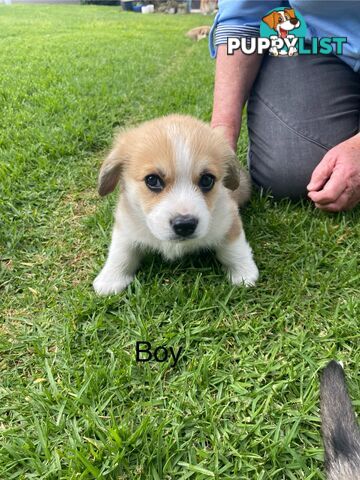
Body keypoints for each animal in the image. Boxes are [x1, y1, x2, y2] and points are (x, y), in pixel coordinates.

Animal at [92, 116, 258, 296]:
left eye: (207, 180)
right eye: (152, 180)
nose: (185, 225)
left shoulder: (229, 220)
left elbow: (234, 249)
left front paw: (244, 273)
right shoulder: (126, 226)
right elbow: (120, 252)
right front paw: (110, 279)